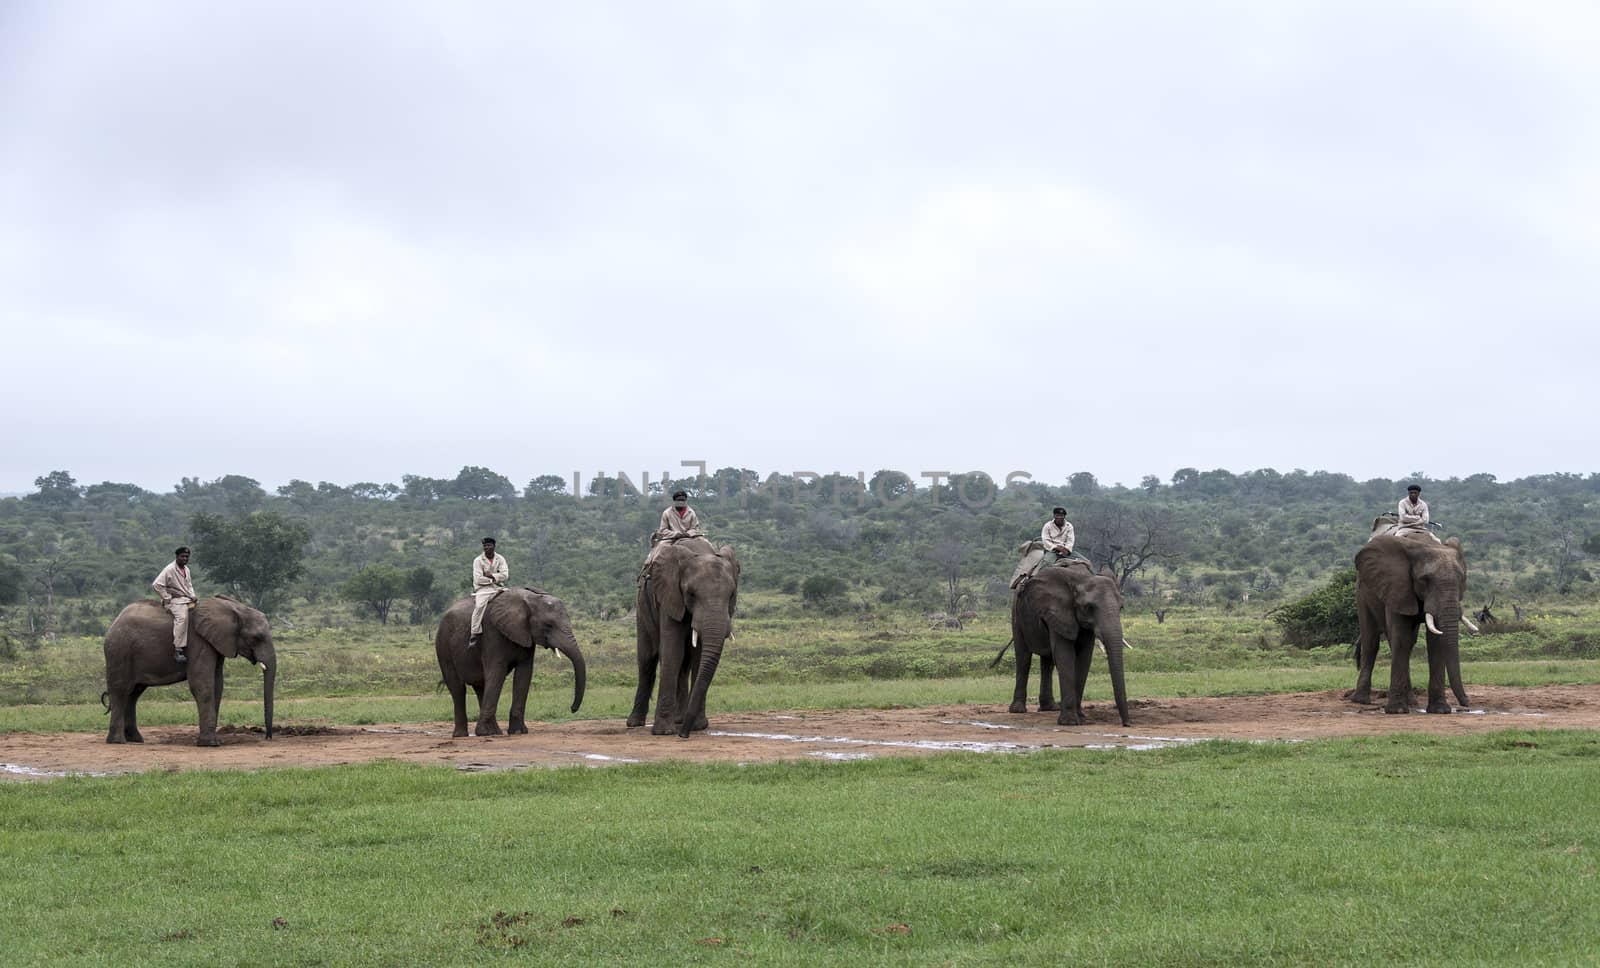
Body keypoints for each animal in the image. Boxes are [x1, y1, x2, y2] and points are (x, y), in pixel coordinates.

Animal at [104, 595, 278, 748]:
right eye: (257, 638)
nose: (268, 737)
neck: (235, 607)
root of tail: (115, 622)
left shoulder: (215, 643)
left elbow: (217, 685)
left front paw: (216, 741)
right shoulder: (198, 642)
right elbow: (202, 684)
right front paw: (210, 744)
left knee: (134, 693)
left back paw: (136, 740)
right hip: (119, 651)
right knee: (120, 690)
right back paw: (118, 741)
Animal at [435, 585, 585, 736]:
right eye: (548, 625)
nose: (572, 709)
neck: (529, 599)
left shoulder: (526, 635)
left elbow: (524, 674)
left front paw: (518, 731)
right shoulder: (492, 633)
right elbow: (497, 672)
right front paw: (485, 732)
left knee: (480, 686)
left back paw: (493, 732)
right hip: (443, 645)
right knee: (458, 689)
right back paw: (466, 734)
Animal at [630, 540, 742, 736]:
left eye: (731, 595)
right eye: (691, 594)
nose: (684, 735)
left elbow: (698, 657)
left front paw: (698, 727)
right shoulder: (669, 596)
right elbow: (672, 652)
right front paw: (664, 732)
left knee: (685, 664)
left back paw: (679, 720)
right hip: (642, 606)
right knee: (647, 659)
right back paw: (635, 723)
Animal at [1004, 560, 1132, 723]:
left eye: (1121, 607)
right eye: (1088, 607)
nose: (1127, 724)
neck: (1081, 579)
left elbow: (1084, 658)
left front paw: (1081, 717)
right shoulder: (1058, 611)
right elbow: (1065, 655)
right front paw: (1070, 722)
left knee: (1047, 662)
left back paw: (1049, 708)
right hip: (1017, 614)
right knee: (1024, 657)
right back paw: (1018, 710)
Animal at [1350, 528, 1472, 710]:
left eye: (1462, 579)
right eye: (1424, 580)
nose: (1467, 702)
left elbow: (1435, 641)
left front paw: (1440, 710)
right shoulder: (1397, 587)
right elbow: (1400, 637)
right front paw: (1397, 710)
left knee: (1407, 644)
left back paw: (1411, 701)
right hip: (1362, 592)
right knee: (1371, 641)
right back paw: (1361, 700)